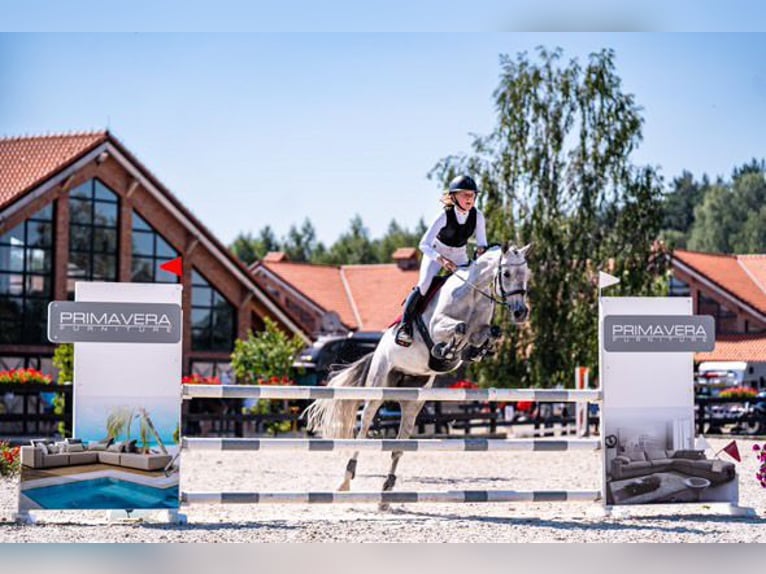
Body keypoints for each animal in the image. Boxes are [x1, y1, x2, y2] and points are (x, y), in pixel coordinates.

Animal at [304, 245, 532, 506]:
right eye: (506, 274)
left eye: (526, 274)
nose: (521, 312)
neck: (474, 295)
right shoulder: (437, 326)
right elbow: (459, 327)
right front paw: (445, 350)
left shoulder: (480, 331)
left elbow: (490, 333)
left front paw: (477, 350)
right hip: (378, 388)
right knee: (363, 428)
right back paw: (345, 481)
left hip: (413, 401)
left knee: (399, 443)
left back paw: (387, 491)